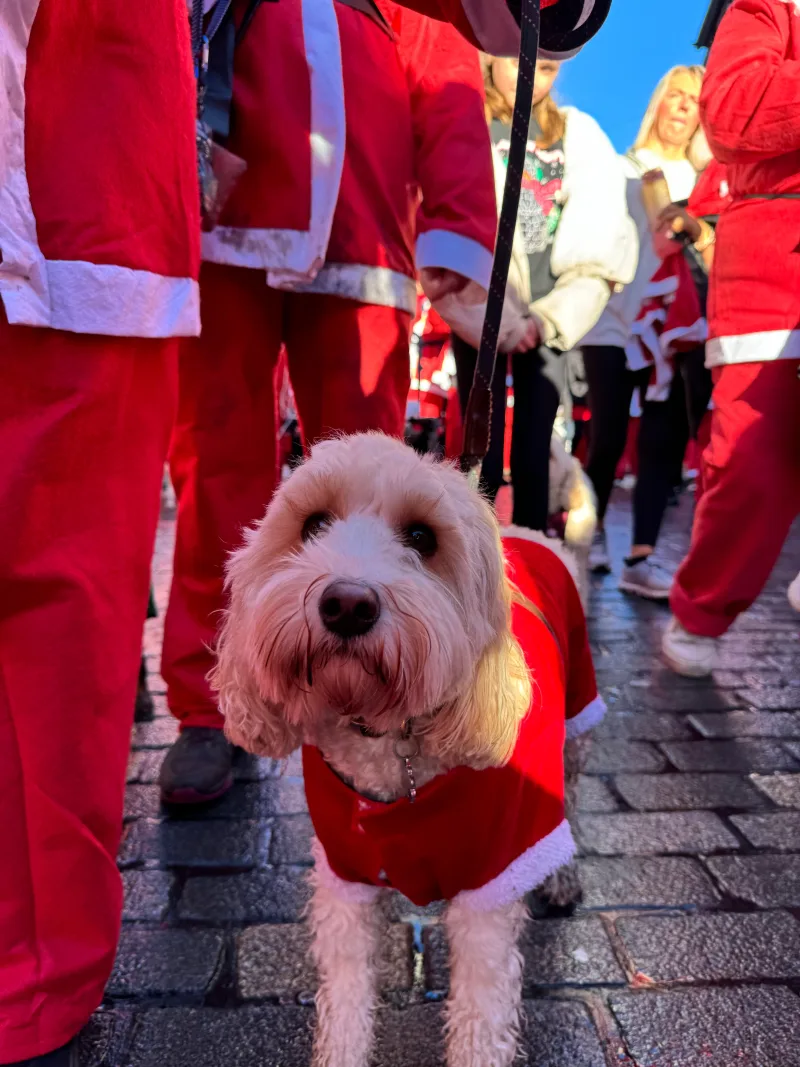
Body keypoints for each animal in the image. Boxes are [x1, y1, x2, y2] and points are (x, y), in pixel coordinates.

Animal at [211, 431, 601, 1067]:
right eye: (313, 524)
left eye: (422, 538)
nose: (347, 603)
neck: (391, 740)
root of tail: (529, 532)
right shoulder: (344, 873)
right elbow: (346, 995)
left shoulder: (490, 882)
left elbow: (480, 1016)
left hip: (579, 722)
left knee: (571, 804)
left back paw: (563, 876)